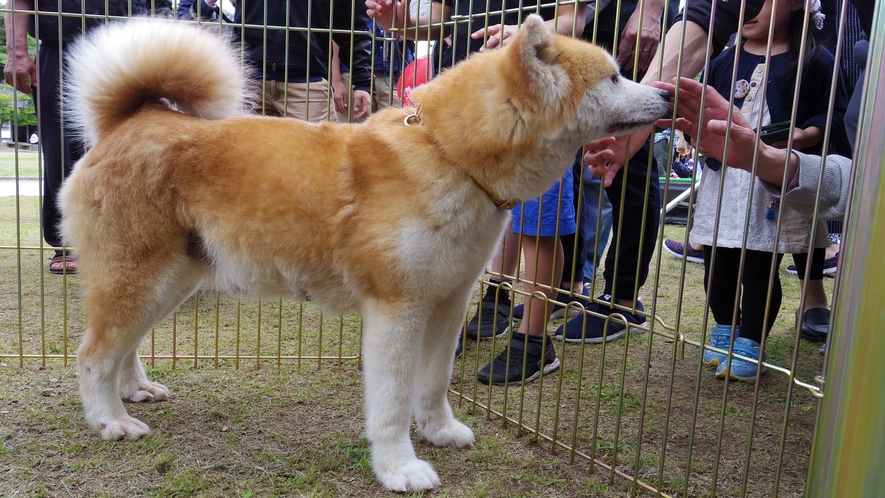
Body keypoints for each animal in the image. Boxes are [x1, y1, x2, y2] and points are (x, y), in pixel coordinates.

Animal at [60, 14, 668, 490]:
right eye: (614, 76)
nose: (667, 92)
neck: (449, 156)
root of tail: (133, 118)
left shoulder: (448, 302)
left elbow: (433, 384)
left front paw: (439, 432)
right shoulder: (396, 310)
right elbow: (393, 403)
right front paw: (400, 467)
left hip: (169, 280)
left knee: (123, 347)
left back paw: (135, 391)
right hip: (139, 277)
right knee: (93, 354)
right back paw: (110, 420)